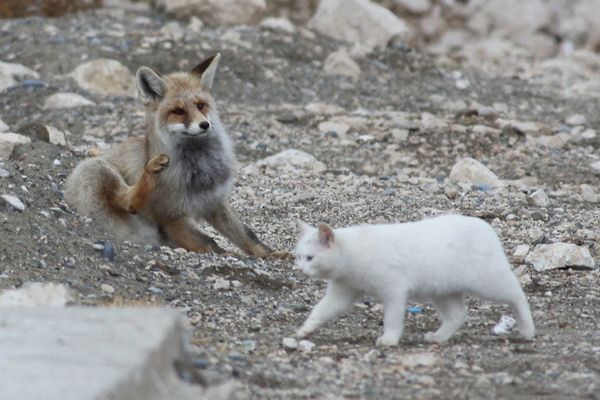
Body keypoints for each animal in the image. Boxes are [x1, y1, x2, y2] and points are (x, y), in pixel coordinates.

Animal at [62, 53, 272, 256]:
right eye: (178, 111)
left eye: (201, 105)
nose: (205, 124)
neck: (200, 170)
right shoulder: (171, 214)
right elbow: (209, 242)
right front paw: (228, 255)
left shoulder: (214, 202)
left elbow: (247, 235)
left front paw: (272, 255)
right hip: (96, 168)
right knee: (129, 202)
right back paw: (150, 171)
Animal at [294, 212, 536, 346]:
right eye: (297, 256)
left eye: (310, 258)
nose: (300, 269)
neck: (352, 254)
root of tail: (485, 225)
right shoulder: (343, 291)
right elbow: (321, 310)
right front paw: (305, 329)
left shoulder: (394, 289)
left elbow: (392, 318)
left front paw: (389, 340)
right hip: (442, 290)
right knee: (458, 315)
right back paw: (438, 337)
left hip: (487, 281)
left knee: (517, 294)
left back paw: (527, 328)